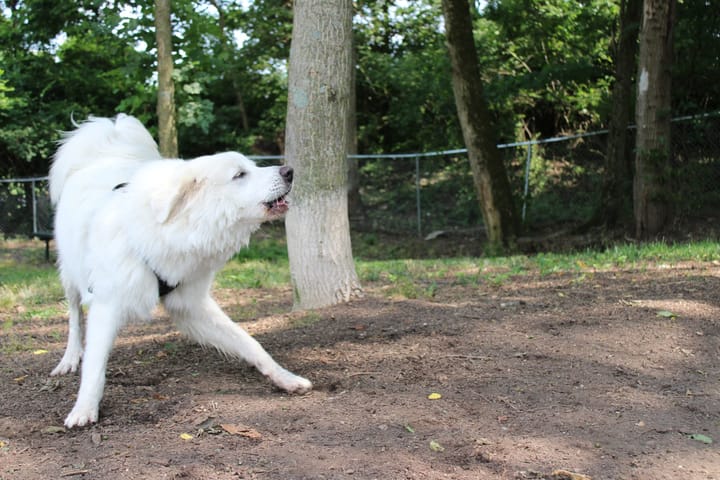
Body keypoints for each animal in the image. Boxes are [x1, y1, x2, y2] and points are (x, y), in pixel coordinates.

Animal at [47, 115, 312, 428]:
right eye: (239, 175)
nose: (289, 171)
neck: (169, 232)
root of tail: (105, 153)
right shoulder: (107, 305)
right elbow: (95, 366)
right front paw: (84, 408)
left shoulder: (191, 306)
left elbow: (250, 343)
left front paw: (285, 378)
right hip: (71, 277)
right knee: (75, 318)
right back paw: (69, 358)